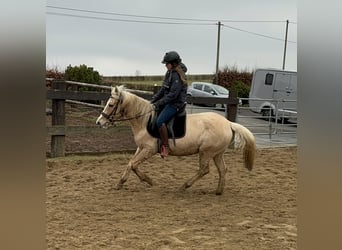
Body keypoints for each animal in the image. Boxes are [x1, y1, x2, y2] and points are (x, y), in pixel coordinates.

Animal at [95, 86, 255, 195]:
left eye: (110, 104)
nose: (99, 122)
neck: (145, 120)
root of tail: (228, 123)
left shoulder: (149, 150)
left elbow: (133, 164)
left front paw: (147, 180)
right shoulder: (140, 148)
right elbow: (131, 164)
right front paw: (121, 183)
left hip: (206, 152)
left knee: (204, 169)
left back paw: (185, 186)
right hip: (217, 153)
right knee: (222, 169)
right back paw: (218, 191)